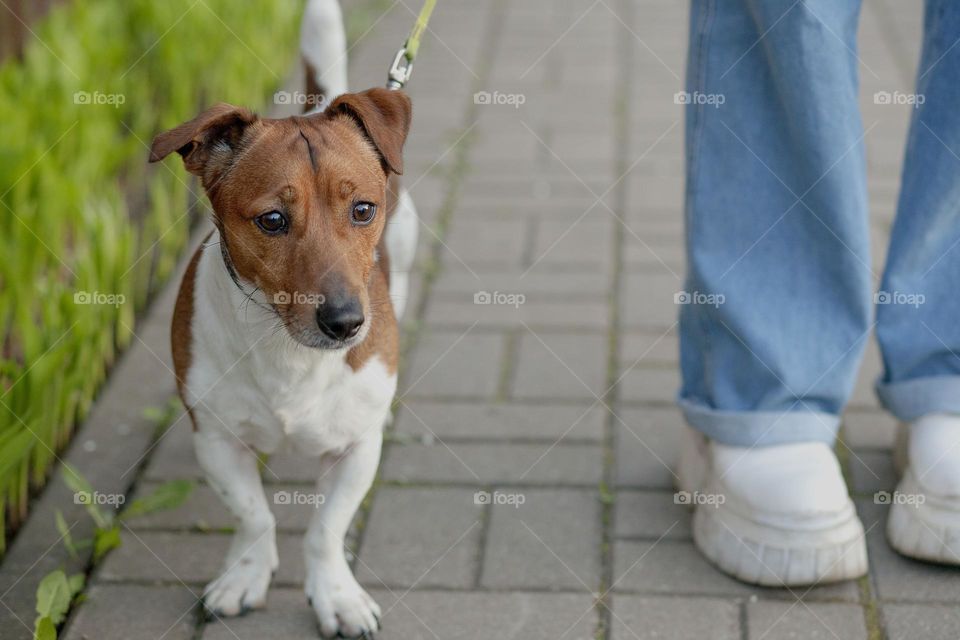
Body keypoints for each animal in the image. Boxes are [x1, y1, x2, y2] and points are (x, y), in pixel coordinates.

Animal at [149, 2, 416, 636]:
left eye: (363, 209)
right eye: (272, 220)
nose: (345, 323)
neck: (289, 353)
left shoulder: (354, 453)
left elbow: (325, 531)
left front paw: (336, 596)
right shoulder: (218, 441)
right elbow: (253, 516)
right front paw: (245, 575)